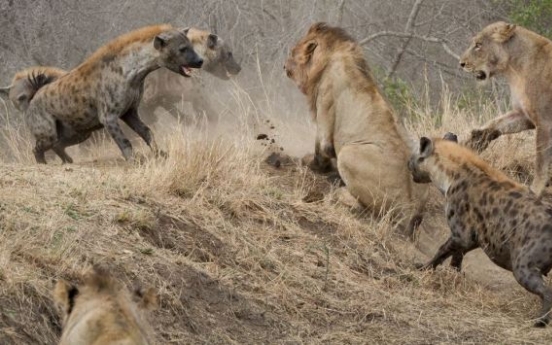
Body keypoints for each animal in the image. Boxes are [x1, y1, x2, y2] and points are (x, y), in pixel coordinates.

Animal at [284, 22, 426, 235]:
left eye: (293, 52)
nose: (284, 65)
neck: (329, 57)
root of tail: (408, 206)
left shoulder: (325, 106)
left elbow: (320, 150)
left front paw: (311, 163)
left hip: (349, 154)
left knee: (362, 205)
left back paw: (340, 190)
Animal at [460, 22, 552, 196]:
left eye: (478, 45)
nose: (461, 63)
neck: (514, 69)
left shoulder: (545, 122)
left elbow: (541, 161)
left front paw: (534, 190)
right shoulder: (524, 115)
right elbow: (497, 123)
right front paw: (477, 139)